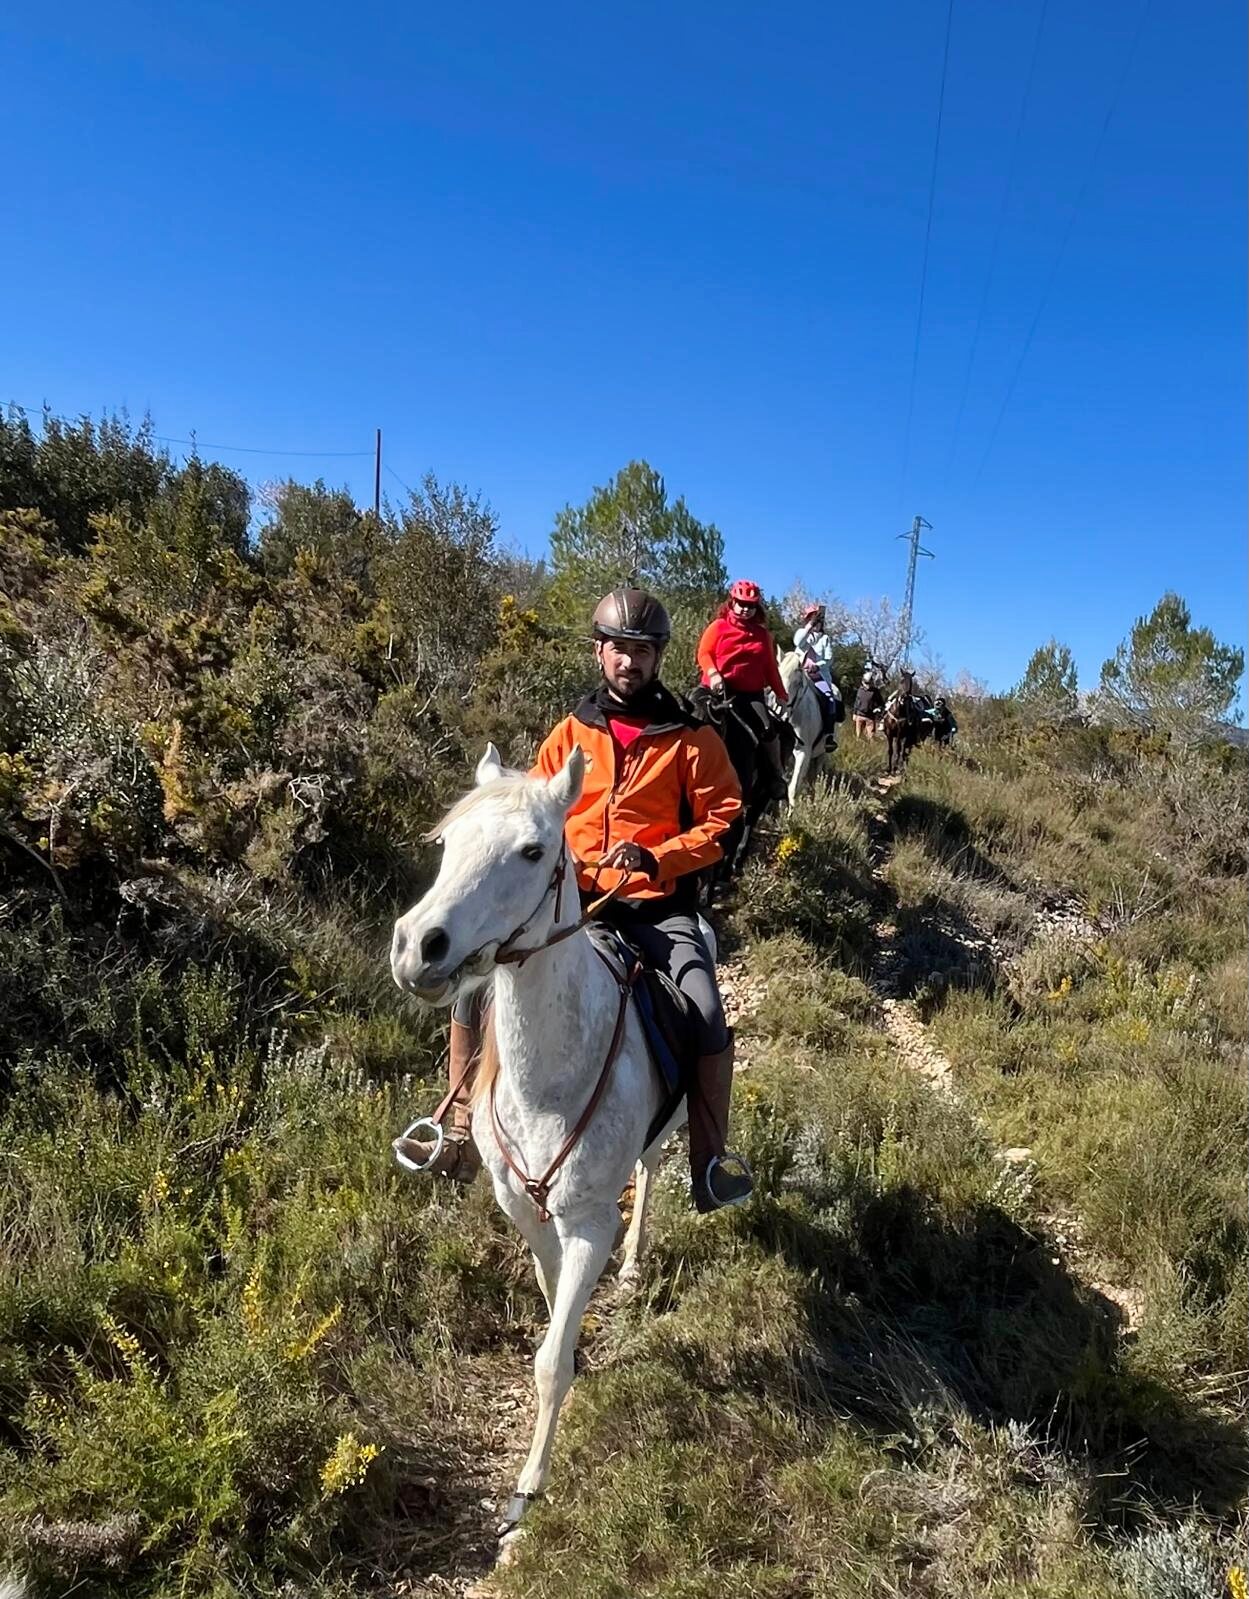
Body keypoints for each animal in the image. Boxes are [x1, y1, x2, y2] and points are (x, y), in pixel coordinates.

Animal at [390, 745, 689, 1555]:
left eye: (531, 851)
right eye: (446, 842)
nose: (417, 947)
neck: (549, 1079)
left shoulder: (588, 1221)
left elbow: (550, 1362)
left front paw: (526, 1490)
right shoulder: (521, 1207)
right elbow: (553, 1300)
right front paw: (576, 1339)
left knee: (653, 1169)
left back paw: (637, 1261)